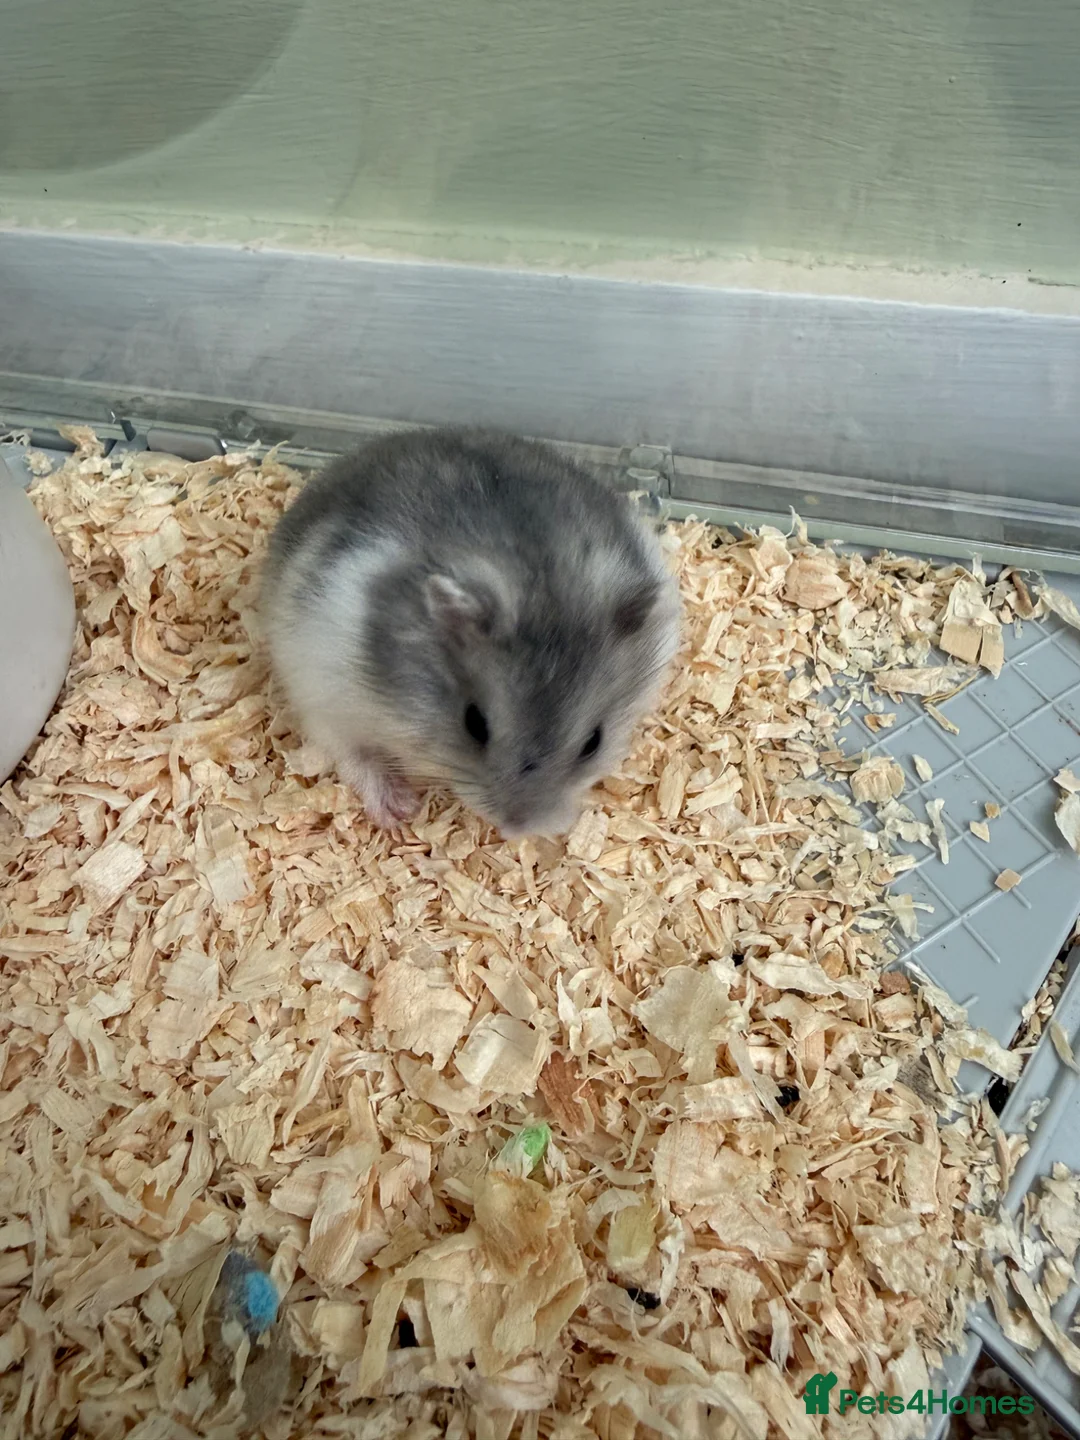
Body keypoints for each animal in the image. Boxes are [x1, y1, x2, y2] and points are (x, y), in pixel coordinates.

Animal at [260, 427, 680, 839]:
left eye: (594, 742)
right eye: (474, 723)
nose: (516, 830)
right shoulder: (325, 682)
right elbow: (352, 753)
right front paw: (403, 813)